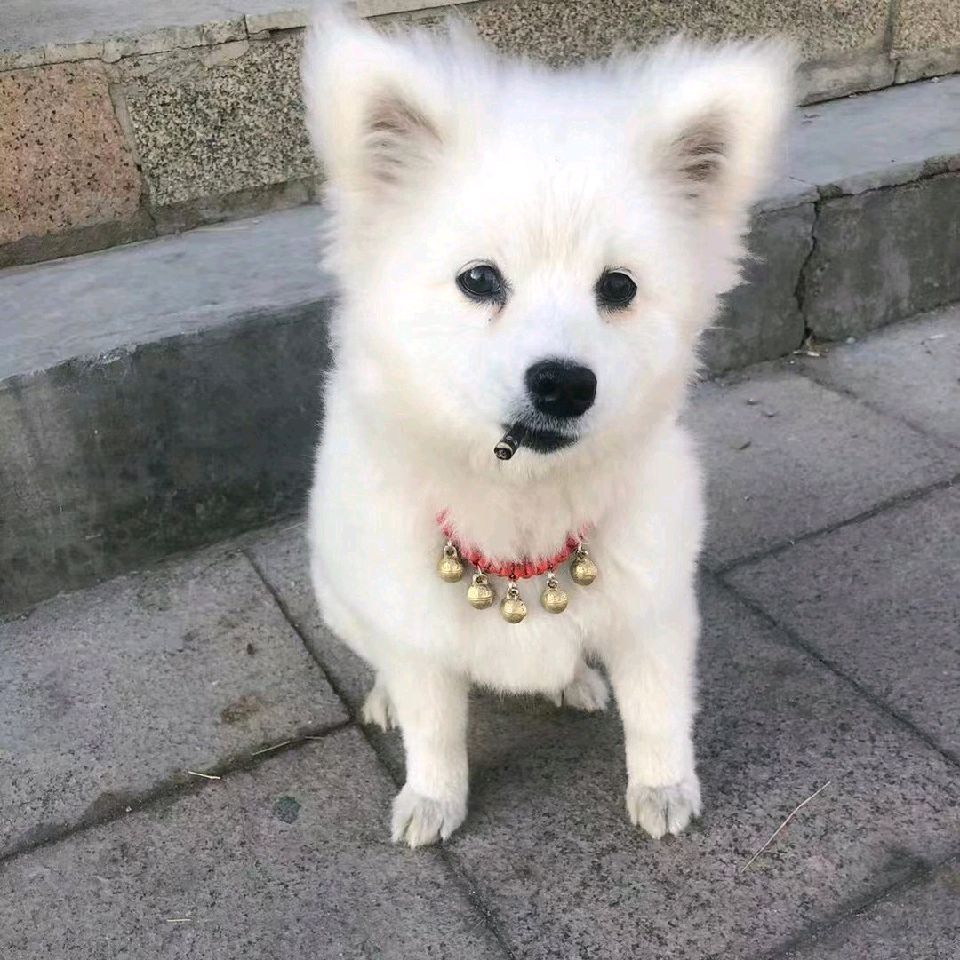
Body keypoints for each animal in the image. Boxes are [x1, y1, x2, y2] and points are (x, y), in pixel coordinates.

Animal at [301, 8, 793, 847]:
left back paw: (577, 680)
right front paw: (432, 798)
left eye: (619, 287)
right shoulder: (416, 628)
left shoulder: (655, 606)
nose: (564, 382)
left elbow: (659, 711)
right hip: (340, 593)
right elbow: (436, 727)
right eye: (478, 280)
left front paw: (664, 787)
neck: (524, 503)